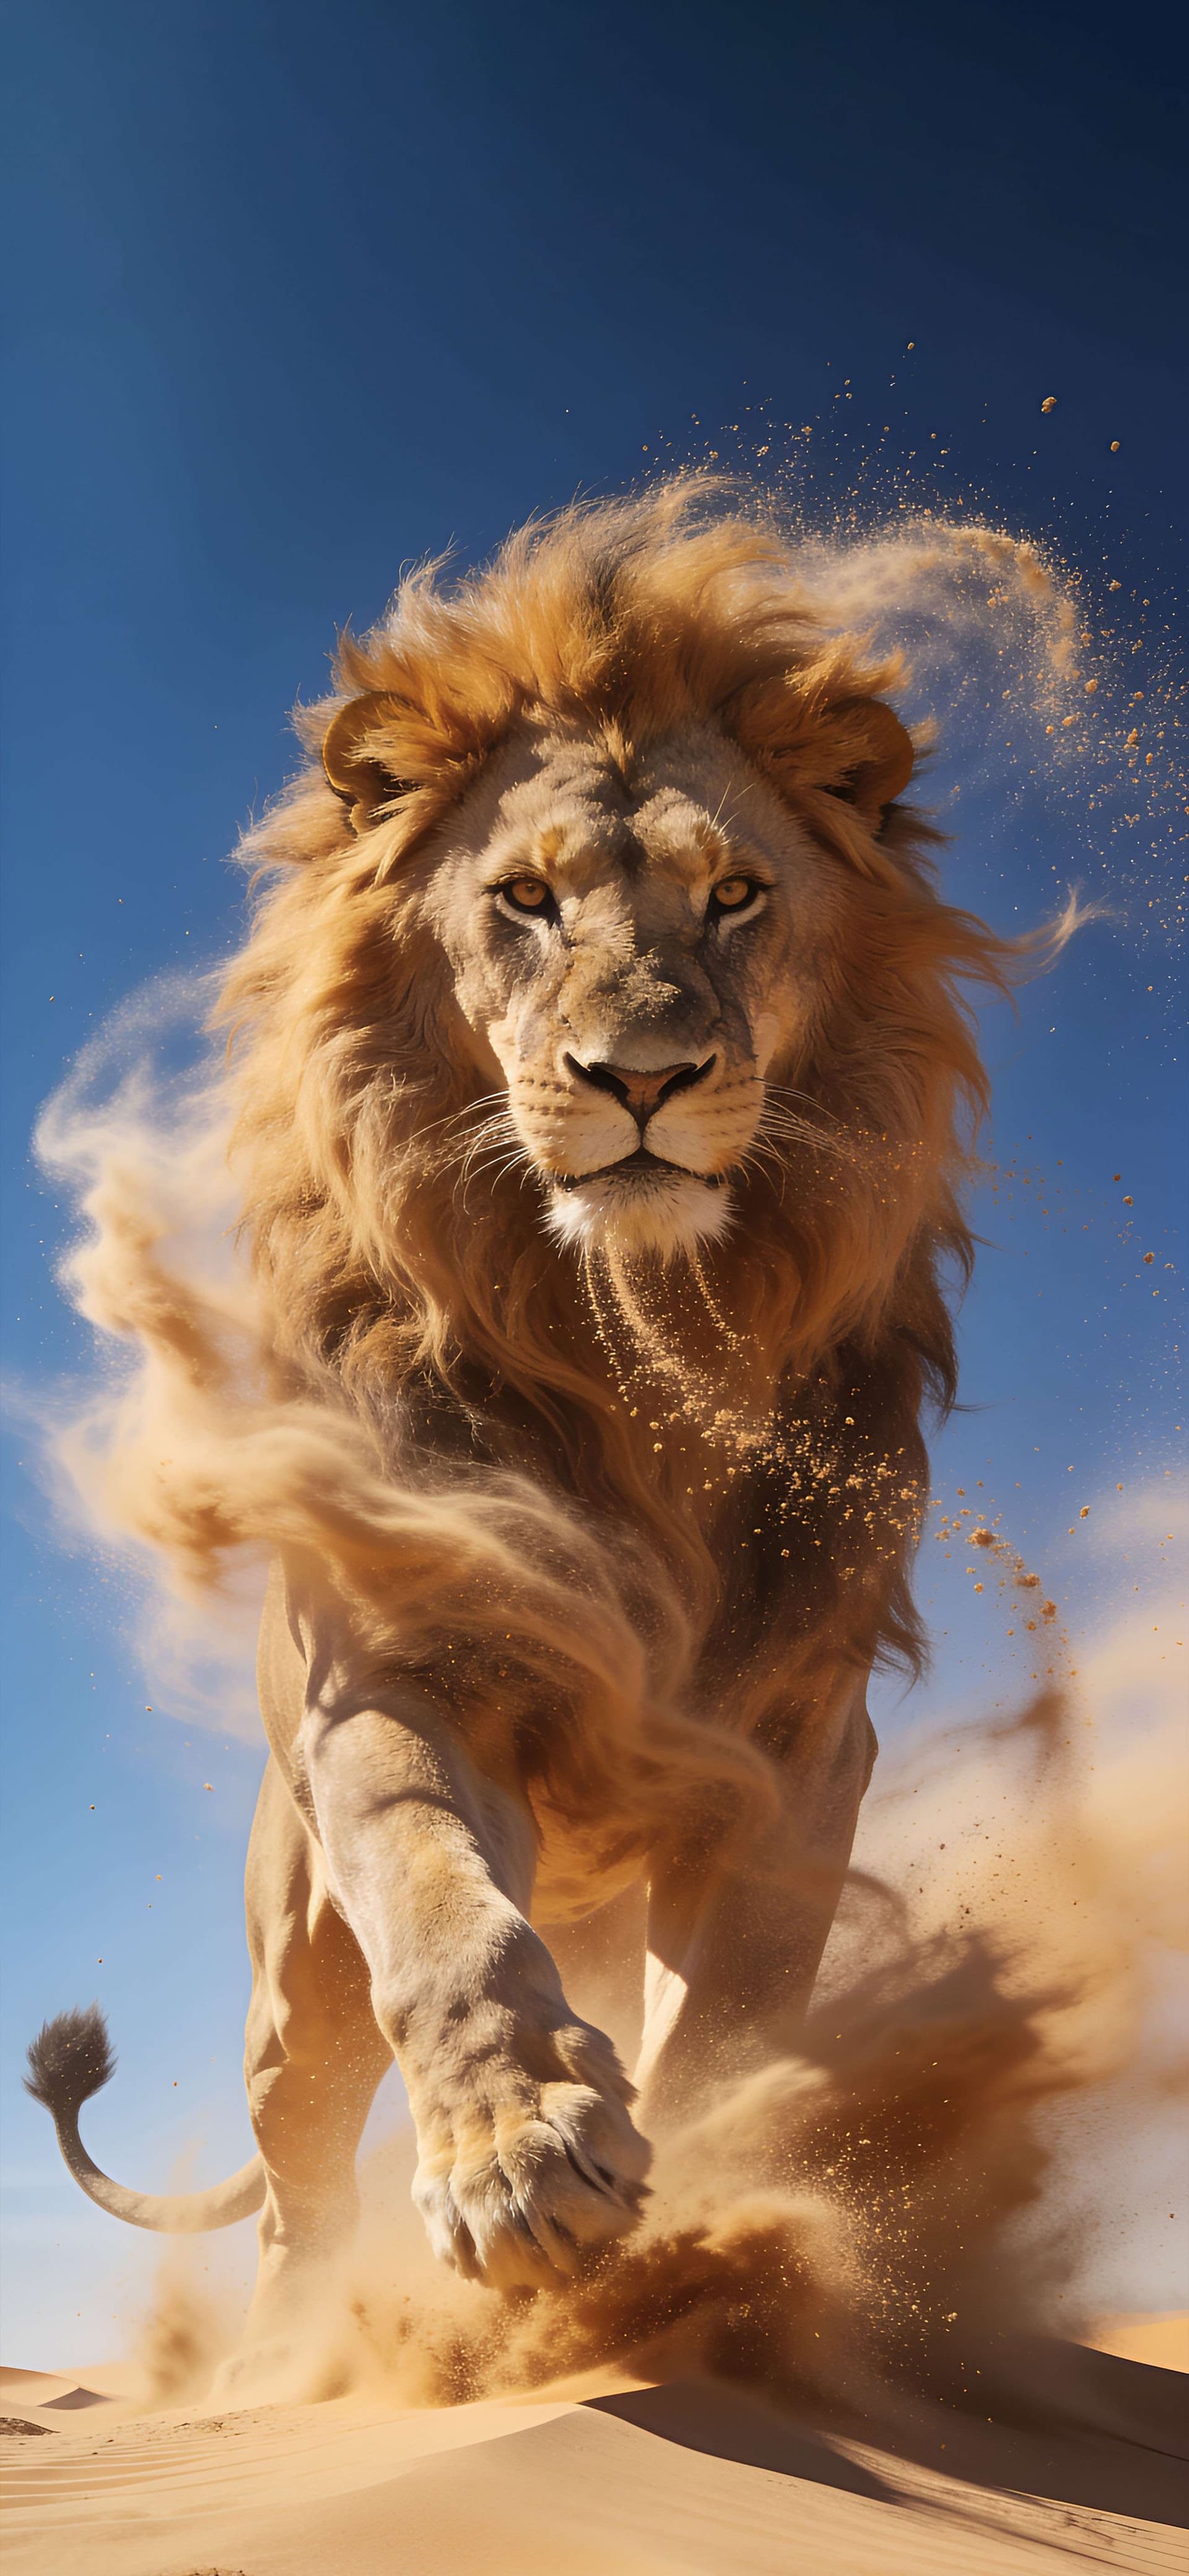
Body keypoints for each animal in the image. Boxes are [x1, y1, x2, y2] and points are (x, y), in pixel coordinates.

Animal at [27, 482, 1041, 2369]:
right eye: (521, 897)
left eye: (736, 895)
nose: (640, 1078)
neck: (631, 1349)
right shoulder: (391, 1679)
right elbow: (441, 1907)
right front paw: (518, 2154)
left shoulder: (798, 1750)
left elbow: (736, 2018)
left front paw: (725, 2208)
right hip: (289, 1983)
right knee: (294, 2178)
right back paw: (291, 2355)